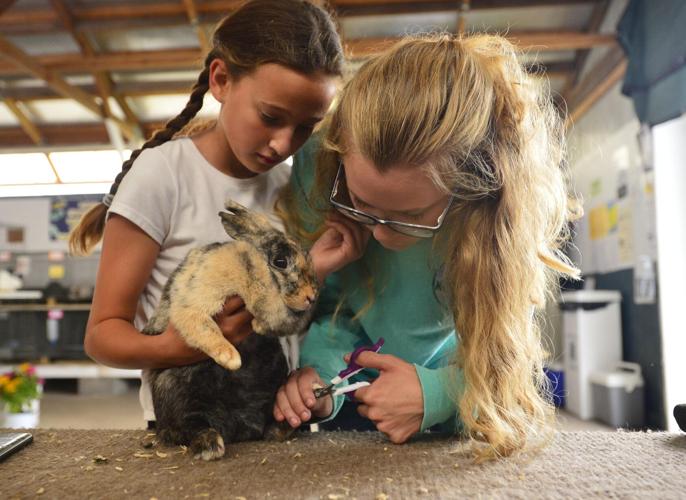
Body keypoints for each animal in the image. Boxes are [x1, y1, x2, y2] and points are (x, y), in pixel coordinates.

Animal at [144, 199, 322, 460]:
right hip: (174, 393)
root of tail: (239, 428)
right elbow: (203, 327)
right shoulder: (192, 304)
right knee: (188, 427)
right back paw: (210, 445)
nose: (311, 297)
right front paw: (231, 358)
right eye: (280, 262)